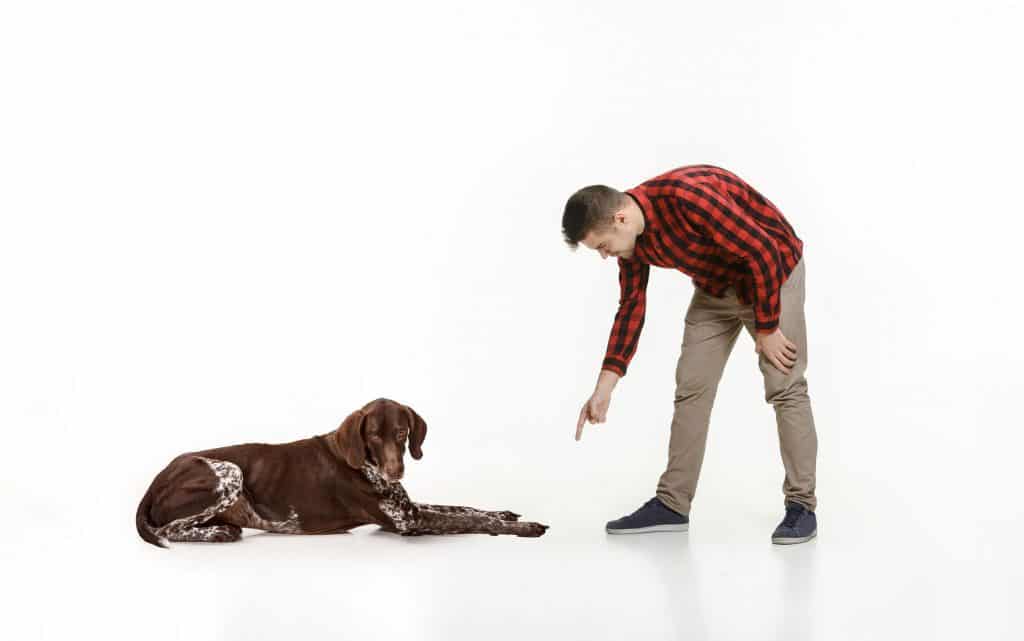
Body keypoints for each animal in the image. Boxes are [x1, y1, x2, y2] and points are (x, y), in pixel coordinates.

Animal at [139, 395, 552, 544]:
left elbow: (465, 508)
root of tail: (155, 480)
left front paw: (504, 513)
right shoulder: (408, 521)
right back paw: (218, 533)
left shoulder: (409, 508)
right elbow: (467, 519)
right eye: (372, 434)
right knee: (169, 529)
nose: (395, 472)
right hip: (228, 471)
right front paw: (524, 527)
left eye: (401, 433)